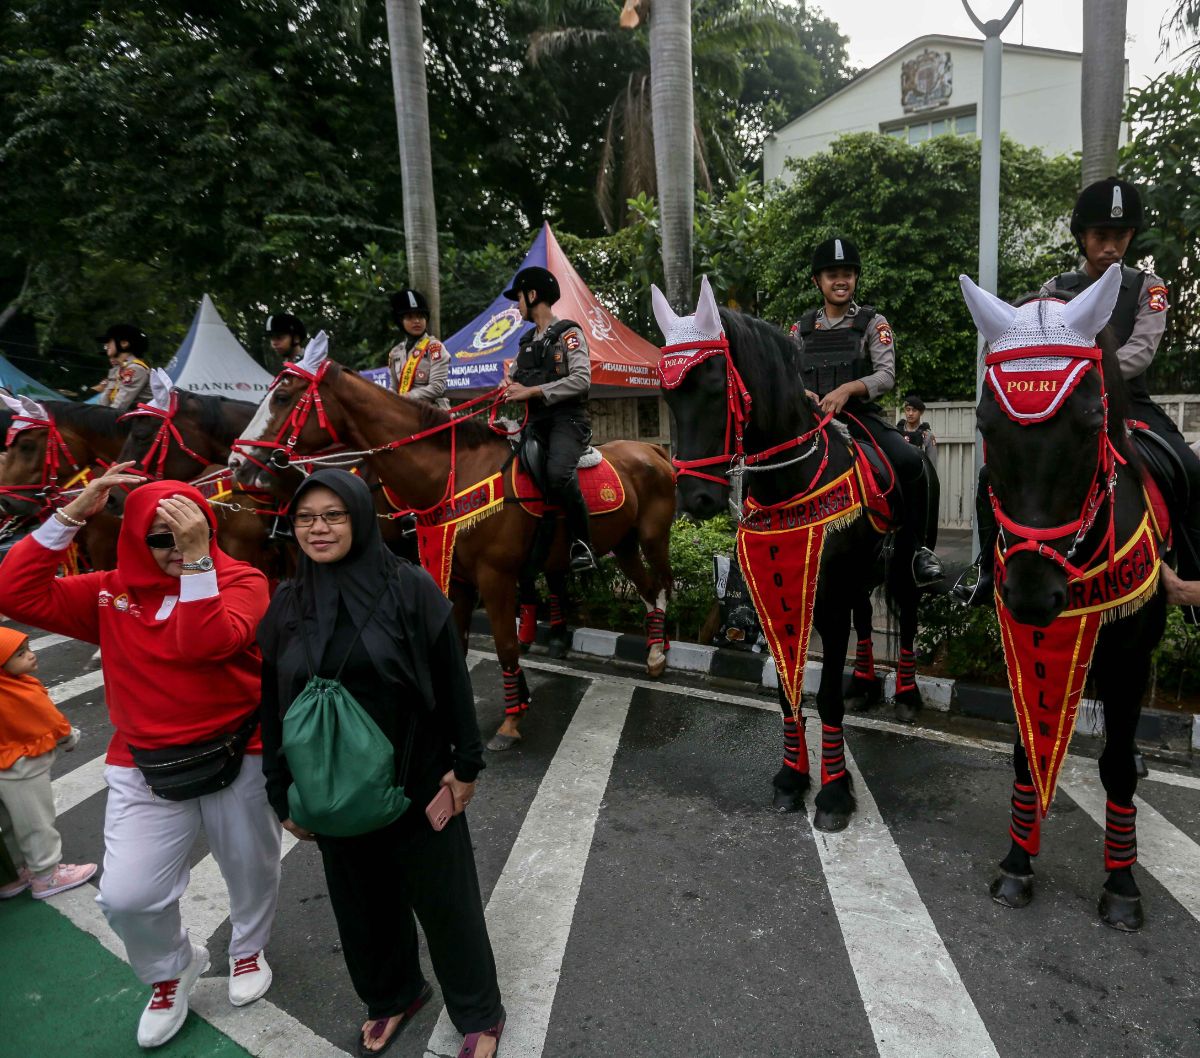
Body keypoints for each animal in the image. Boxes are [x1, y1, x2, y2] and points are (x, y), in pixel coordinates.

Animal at [232, 350, 676, 748]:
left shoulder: (495, 578)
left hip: (653, 539)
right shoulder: (458, 578)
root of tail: (653, 450)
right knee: (649, 589)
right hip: (623, 544)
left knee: (663, 585)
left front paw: (511, 722)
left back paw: (659, 652)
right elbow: (457, 643)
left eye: (282, 397)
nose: (237, 462)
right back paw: (656, 653)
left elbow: (505, 644)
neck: (456, 474)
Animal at [657, 275, 926, 830]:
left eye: (715, 385)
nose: (696, 499)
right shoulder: (775, 589)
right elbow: (787, 691)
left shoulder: (827, 599)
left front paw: (834, 793)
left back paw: (906, 696)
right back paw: (864, 684)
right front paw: (791, 777)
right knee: (867, 618)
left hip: (902, 563)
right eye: (666, 395)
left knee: (907, 615)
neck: (790, 482)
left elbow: (824, 698)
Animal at [960, 267, 1166, 926]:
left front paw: (1122, 885)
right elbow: (1028, 750)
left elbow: (1118, 765)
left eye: (1092, 419)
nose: (1032, 595)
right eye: (986, 425)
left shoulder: (1130, 655)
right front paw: (1017, 864)